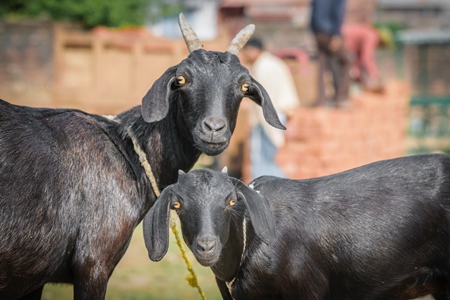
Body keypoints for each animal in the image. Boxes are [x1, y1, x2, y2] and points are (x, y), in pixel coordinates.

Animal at [0, 12, 284, 298]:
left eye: (244, 86)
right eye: (182, 80)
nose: (214, 129)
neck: (127, 152)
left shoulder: (34, 277)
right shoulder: (93, 263)